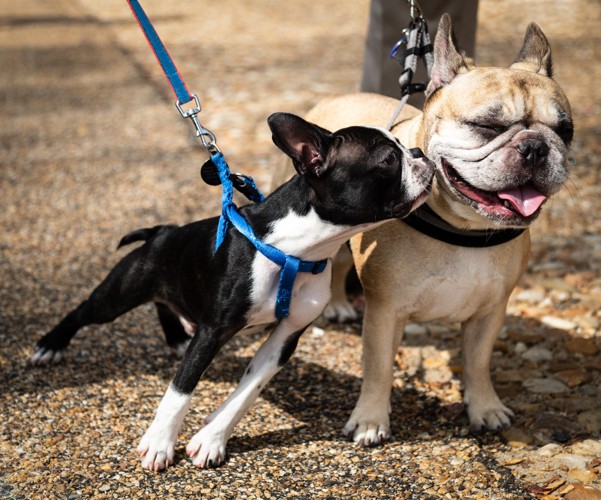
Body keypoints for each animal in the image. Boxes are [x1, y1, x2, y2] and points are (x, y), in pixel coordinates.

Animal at [30, 112, 434, 468]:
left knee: (164, 303)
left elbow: (247, 392)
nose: (420, 153)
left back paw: (176, 338)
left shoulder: (283, 339)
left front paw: (210, 439)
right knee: (84, 310)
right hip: (122, 291)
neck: (297, 250)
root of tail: (162, 231)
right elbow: (179, 392)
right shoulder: (213, 331)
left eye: (404, 147)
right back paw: (50, 345)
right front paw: (160, 443)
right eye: (388, 159)